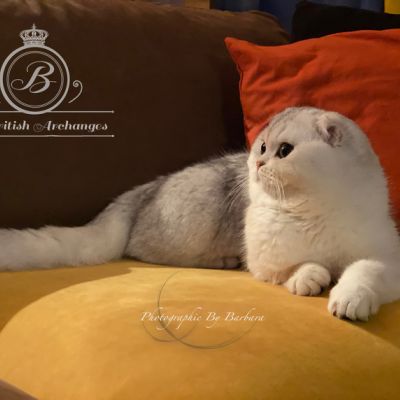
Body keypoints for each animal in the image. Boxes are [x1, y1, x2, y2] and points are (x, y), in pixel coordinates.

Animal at [0, 106, 399, 321]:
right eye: (262, 147)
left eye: (284, 151)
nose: (257, 163)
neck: (312, 209)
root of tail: (144, 189)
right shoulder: (266, 262)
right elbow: (299, 268)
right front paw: (311, 279)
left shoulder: (386, 259)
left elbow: (363, 272)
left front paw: (349, 301)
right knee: (149, 252)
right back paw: (224, 262)